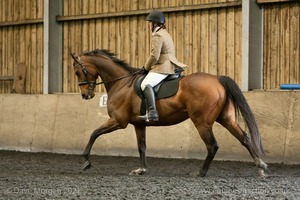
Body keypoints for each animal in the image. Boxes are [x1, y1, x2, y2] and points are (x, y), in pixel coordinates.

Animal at [70, 48, 268, 177]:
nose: (85, 95)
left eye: (78, 71)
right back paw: (260, 167)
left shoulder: (119, 121)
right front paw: (142, 170)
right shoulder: (139, 123)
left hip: (202, 122)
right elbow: (142, 146)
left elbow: (94, 133)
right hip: (226, 118)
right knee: (244, 138)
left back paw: (201, 172)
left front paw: (86, 161)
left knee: (212, 145)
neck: (121, 83)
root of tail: (217, 79)